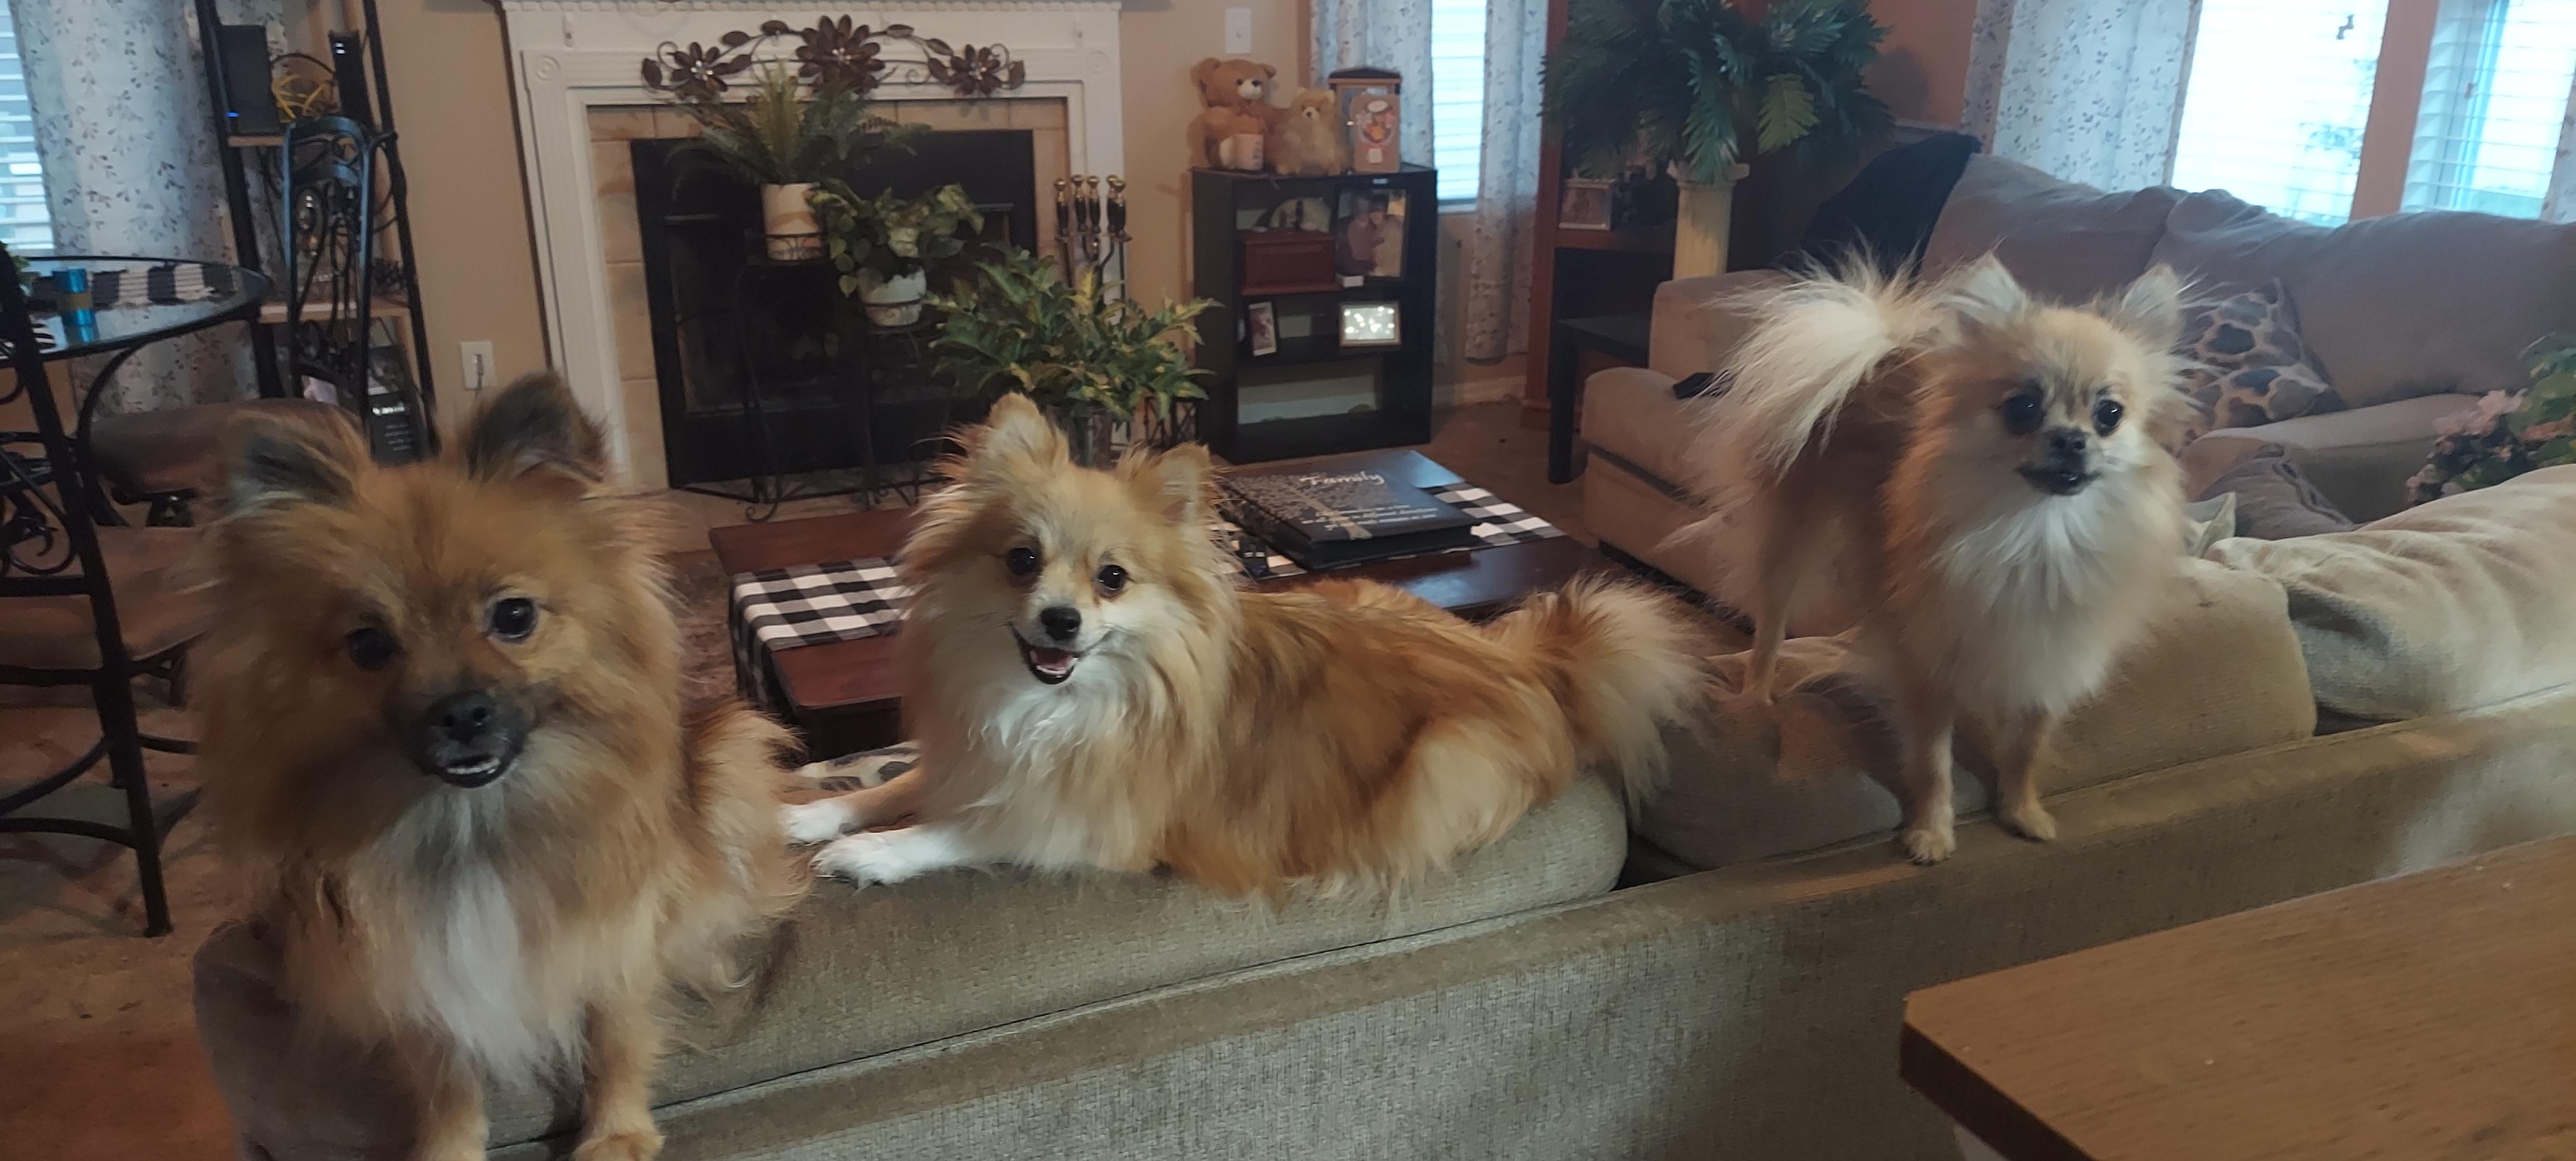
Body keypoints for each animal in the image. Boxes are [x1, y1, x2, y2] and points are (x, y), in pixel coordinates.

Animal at [196, 374, 804, 1161]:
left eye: (514, 616)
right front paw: (447, 1149)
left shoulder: (613, 933)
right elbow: (445, 1080)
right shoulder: (417, 972)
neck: (472, 823)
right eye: (368, 644)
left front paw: (617, 1132)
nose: (459, 712)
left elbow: (615, 1035)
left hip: (733, 754)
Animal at [781, 393, 1711, 895]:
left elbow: (955, 832)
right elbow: (900, 781)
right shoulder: (976, 754)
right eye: (1022, 562)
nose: (1060, 621)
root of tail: (1531, 659)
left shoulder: (1076, 825)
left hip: (1443, 768)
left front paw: (868, 852)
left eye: (1111, 579)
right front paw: (811, 812)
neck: (1055, 708)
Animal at [1691, 256, 2192, 864]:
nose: (2072, 439)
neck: (2035, 534)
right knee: (1768, 631)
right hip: (1790, 543)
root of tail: (1883, 351)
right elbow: (1933, 762)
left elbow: (2026, 746)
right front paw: (1931, 832)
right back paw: (1757, 699)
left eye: (2109, 414)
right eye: (2022, 409)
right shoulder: (1928, 666)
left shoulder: (2053, 660)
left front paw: (2021, 810)